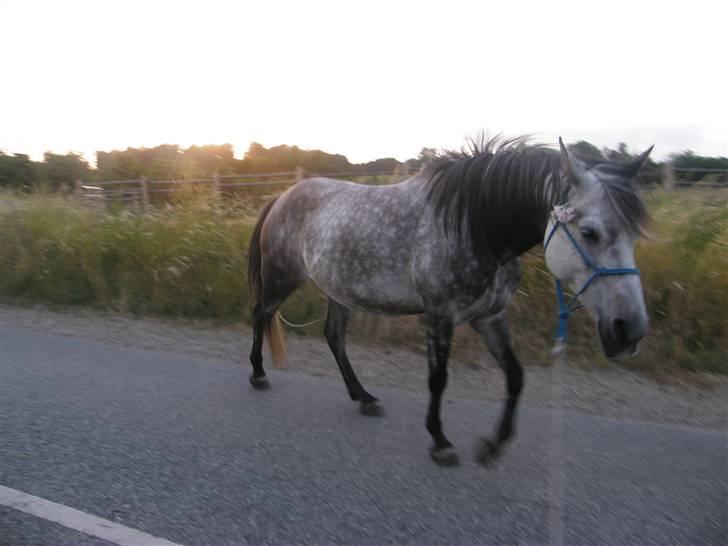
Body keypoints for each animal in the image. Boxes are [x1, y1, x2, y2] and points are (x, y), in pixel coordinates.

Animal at [247, 136, 652, 464]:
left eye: (633, 234)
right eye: (589, 232)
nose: (629, 329)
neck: (475, 225)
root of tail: (281, 196)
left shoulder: (490, 317)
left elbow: (515, 376)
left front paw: (493, 445)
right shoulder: (440, 316)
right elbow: (439, 378)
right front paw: (440, 441)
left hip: (340, 290)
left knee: (334, 337)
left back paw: (363, 397)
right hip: (282, 278)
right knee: (260, 315)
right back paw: (258, 374)